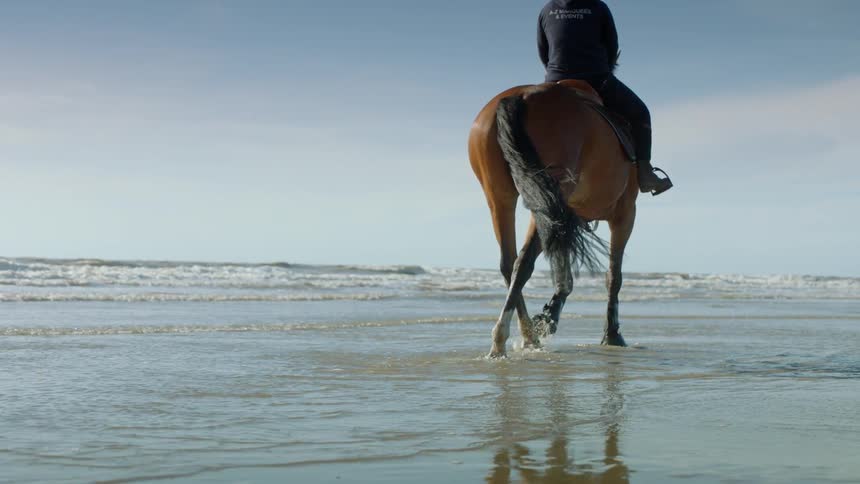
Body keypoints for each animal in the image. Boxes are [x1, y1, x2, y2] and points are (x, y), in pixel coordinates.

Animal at [468, 80, 639, 358]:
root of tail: (522, 96)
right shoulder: (625, 213)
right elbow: (614, 276)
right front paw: (612, 334)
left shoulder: (565, 216)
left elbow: (563, 271)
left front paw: (549, 317)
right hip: (546, 195)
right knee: (523, 262)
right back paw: (505, 338)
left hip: (502, 196)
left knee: (510, 262)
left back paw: (524, 337)